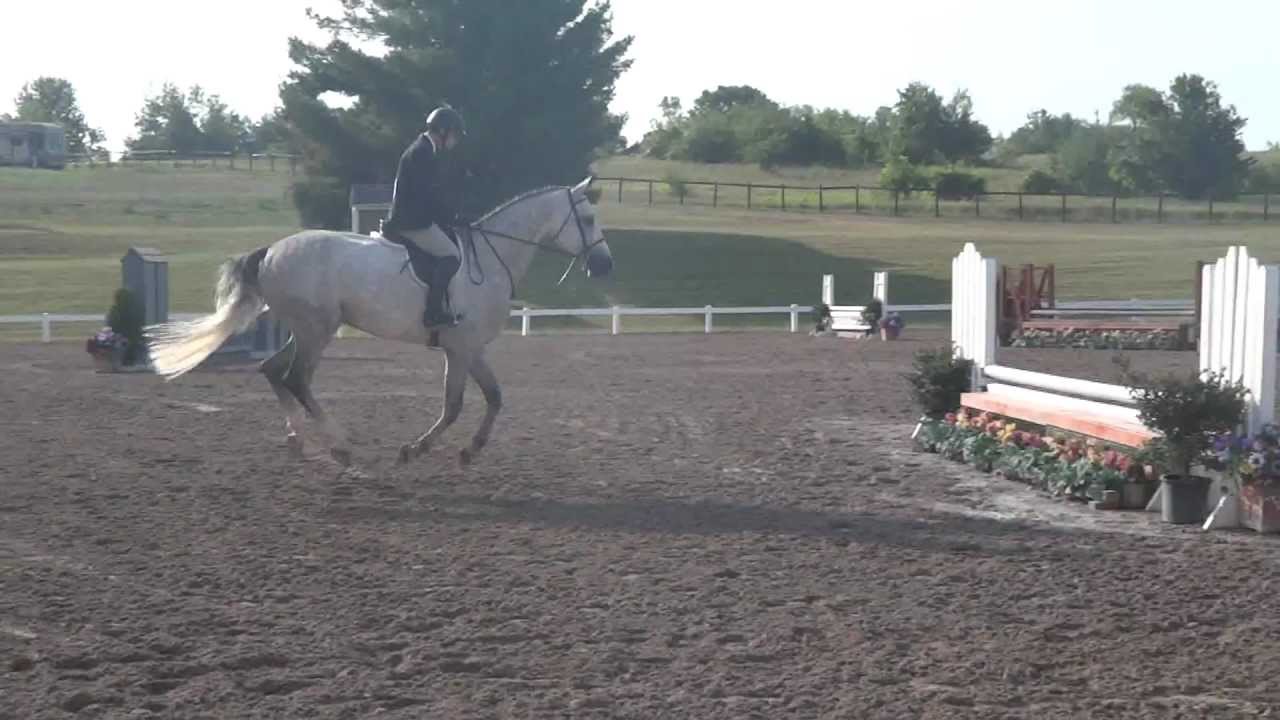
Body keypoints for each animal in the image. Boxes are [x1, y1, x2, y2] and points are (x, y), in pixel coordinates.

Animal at [143, 176, 612, 467]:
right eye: (588, 219)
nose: (605, 265)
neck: (492, 260)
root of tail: (272, 250)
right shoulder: (460, 347)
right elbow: (454, 406)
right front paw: (415, 450)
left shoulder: (472, 348)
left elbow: (494, 398)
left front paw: (470, 450)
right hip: (316, 330)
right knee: (296, 378)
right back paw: (339, 445)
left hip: (306, 329)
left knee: (273, 371)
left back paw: (299, 440)